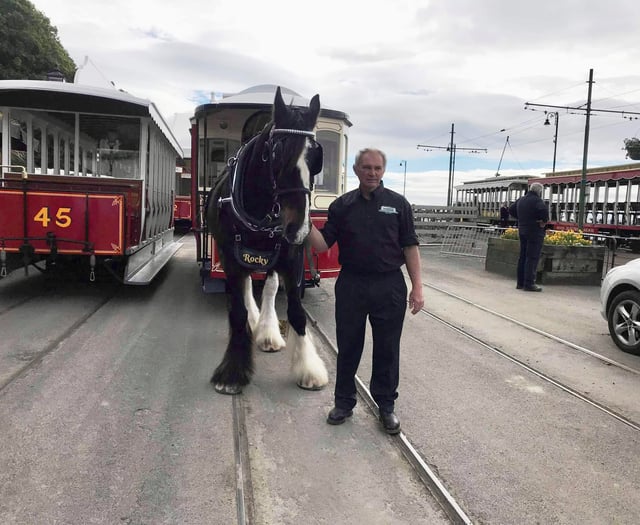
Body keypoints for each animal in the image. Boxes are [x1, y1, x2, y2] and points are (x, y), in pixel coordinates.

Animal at [206, 88, 328, 396]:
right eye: (276, 153)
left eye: (316, 157)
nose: (299, 228)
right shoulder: (230, 257)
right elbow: (237, 312)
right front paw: (232, 372)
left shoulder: (291, 258)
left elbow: (296, 313)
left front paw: (308, 369)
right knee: (248, 286)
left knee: (270, 287)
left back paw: (268, 332)